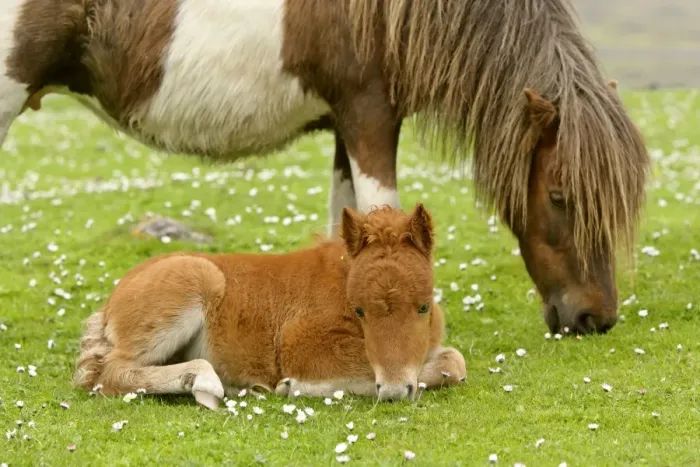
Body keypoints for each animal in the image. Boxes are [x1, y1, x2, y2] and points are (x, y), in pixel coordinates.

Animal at [0, 0, 649, 335]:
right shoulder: (369, 114)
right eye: (560, 196)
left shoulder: (347, 122)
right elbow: (383, 214)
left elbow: (350, 226)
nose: (595, 318)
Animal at [73, 203, 467, 408]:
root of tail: (111, 303)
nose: (396, 392)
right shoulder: (300, 345)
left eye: (423, 307)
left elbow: (454, 361)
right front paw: (296, 387)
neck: (341, 280)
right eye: (360, 311)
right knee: (109, 372)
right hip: (193, 284)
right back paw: (203, 382)